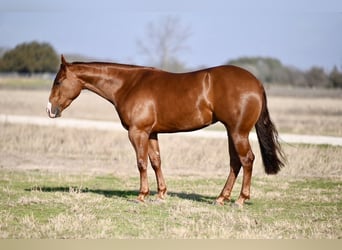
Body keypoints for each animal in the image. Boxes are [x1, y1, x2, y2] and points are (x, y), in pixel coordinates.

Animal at [46, 56, 284, 207]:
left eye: (58, 81)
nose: (50, 110)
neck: (128, 84)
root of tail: (257, 83)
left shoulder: (138, 132)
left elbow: (141, 163)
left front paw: (142, 196)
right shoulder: (151, 133)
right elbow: (156, 161)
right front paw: (161, 194)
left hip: (238, 132)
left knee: (247, 160)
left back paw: (241, 199)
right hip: (231, 132)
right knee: (235, 163)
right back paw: (221, 198)